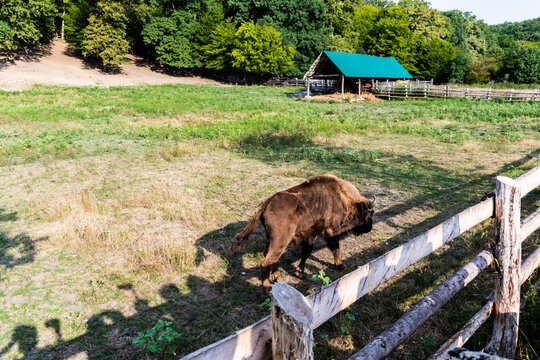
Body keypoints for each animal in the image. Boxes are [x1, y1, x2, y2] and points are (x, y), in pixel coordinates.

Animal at [229, 174, 376, 296]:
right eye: (370, 213)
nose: (369, 228)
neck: (343, 197)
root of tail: (266, 204)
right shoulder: (330, 232)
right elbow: (335, 248)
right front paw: (340, 265)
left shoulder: (311, 235)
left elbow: (306, 252)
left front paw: (300, 272)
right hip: (280, 241)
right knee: (266, 262)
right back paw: (267, 291)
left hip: (271, 239)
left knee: (268, 256)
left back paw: (276, 277)